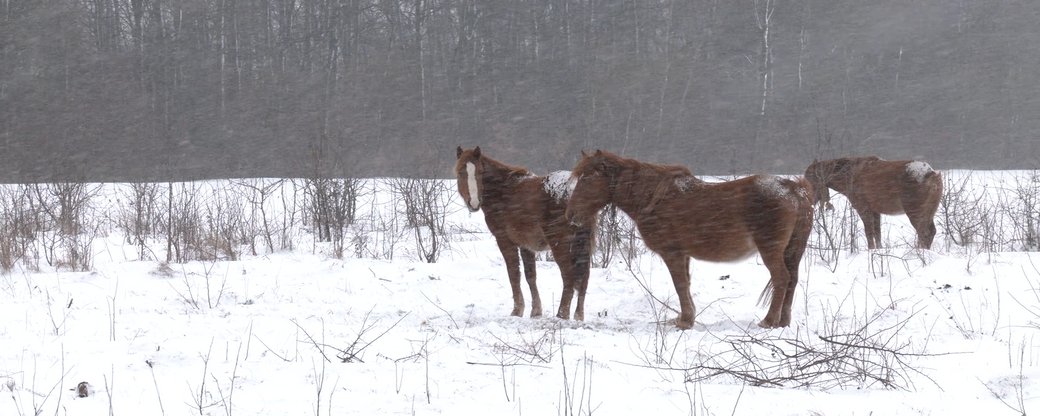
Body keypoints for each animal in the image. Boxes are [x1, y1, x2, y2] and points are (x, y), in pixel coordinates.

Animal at [453, 146, 594, 322]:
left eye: (479, 172)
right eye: (460, 172)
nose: (474, 203)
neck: (503, 191)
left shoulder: (505, 241)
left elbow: (514, 274)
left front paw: (517, 310)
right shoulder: (526, 244)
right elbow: (530, 276)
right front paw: (536, 311)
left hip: (560, 244)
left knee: (568, 275)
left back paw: (562, 314)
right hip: (582, 243)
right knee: (584, 276)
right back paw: (578, 315)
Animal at [565, 149, 815, 328]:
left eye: (587, 178)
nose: (571, 215)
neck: (652, 198)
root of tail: (795, 189)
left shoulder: (672, 253)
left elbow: (680, 285)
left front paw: (685, 321)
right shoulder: (683, 255)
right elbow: (685, 284)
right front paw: (688, 317)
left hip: (770, 249)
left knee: (781, 278)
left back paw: (768, 321)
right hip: (793, 250)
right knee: (792, 280)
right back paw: (783, 322)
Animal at [802, 154, 944, 247]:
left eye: (809, 179)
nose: (807, 198)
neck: (849, 175)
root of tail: (931, 174)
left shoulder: (863, 209)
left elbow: (869, 234)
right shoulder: (875, 211)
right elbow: (877, 234)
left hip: (915, 212)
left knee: (923, 233)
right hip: (929, 211)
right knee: (930, 232)